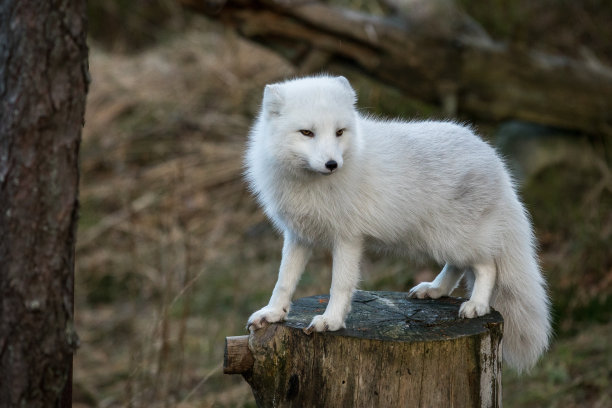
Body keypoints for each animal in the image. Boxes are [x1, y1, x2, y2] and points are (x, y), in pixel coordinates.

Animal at [246, 75, 552, 372]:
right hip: (440, 239)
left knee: (488, 266)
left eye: (339, 132)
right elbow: (284, 280)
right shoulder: (298, 235)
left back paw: (476, 304)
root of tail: (495, 159)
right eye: (307, 133)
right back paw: (436, 289)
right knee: (459, 266)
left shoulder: (348, 238)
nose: (333, 164)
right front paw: (273, 313)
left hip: (455, 238)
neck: (308, 184)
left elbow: (340, 284)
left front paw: (331, 321)